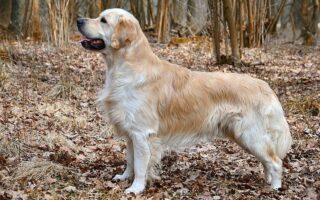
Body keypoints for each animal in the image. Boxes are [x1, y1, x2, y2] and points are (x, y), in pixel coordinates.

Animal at [76, 8, 292, 195]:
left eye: (103, 20)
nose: (78, 20)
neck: (126, 67)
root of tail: (265, 86)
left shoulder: (142, 132)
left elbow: (140, 165)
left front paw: (135, 188)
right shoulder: (130, 132)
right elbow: (129, 159)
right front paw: (124, 177)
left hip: (250, 135)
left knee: (275, 161)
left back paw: (275, 188)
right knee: (268, 160)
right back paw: (267, 181)